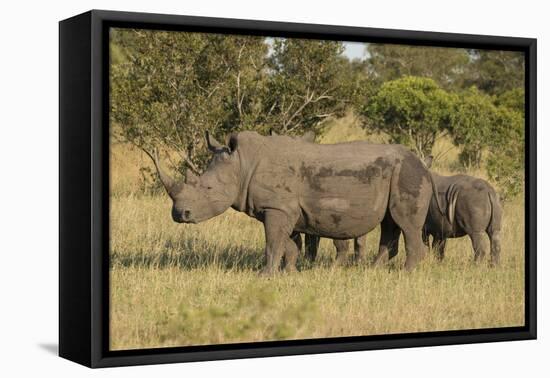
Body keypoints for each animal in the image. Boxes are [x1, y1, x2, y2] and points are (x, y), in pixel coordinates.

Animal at [150, 131, 440, 274]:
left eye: (208, 188)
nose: (180, 214)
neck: (242, 164)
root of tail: (424, 165)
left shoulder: (277, 207)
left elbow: (272, 244)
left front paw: (264, 276)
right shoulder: (283, 209)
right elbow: (287, 245)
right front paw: (288, 272)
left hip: (408, 174)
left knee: (406, 224)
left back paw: (405, 274)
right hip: (399, 174)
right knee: (390, 223)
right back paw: (372, 271)